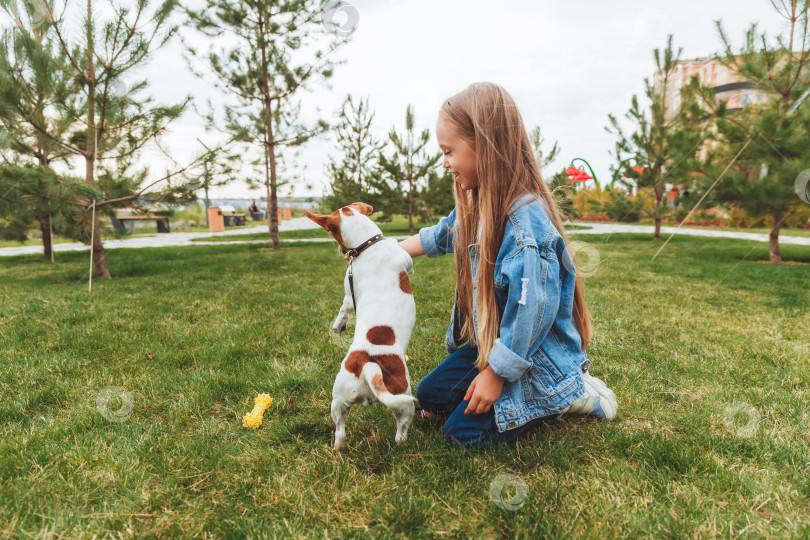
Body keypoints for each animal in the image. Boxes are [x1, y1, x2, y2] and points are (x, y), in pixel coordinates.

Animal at [304, 202, 414, 452]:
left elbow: (344, 308)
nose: (340, 251)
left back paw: (337, 449)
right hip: (404, 398)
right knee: (401, 431)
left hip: (339, 400)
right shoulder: (349, 290)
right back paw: (402, 444)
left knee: (340, 431)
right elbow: (344, 308)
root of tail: (369, 364)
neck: (369, 243)